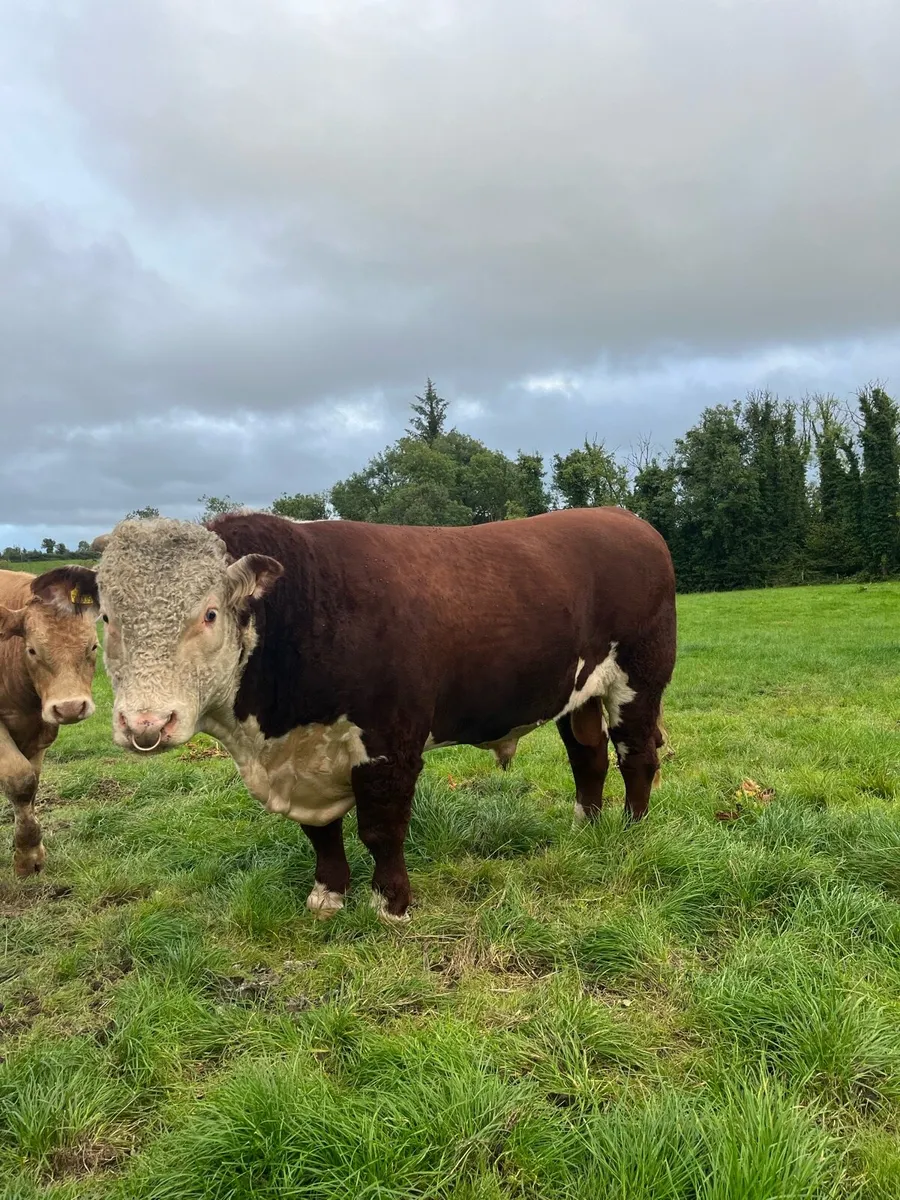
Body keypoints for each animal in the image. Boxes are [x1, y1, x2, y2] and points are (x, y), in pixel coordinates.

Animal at [0, 567, 100, 876]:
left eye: (93, 646)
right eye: (32, 650)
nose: (70, 708)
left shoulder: (40, 732)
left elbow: (30, 786)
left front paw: (30, 852)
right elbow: (19, 780)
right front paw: (26, 856)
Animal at [95, 507, 676, 922]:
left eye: (209, 614)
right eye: (106, 617)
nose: (146, 724)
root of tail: (622, 516)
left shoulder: (390, 743)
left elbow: (382, 827)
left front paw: (390, 904)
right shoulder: (308, 759)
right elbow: (321, 832)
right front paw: (327, 895)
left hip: (640, 678)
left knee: (636, 755)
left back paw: (632, 828)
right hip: (575, 692)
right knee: (588, 756)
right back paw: (585, 826)